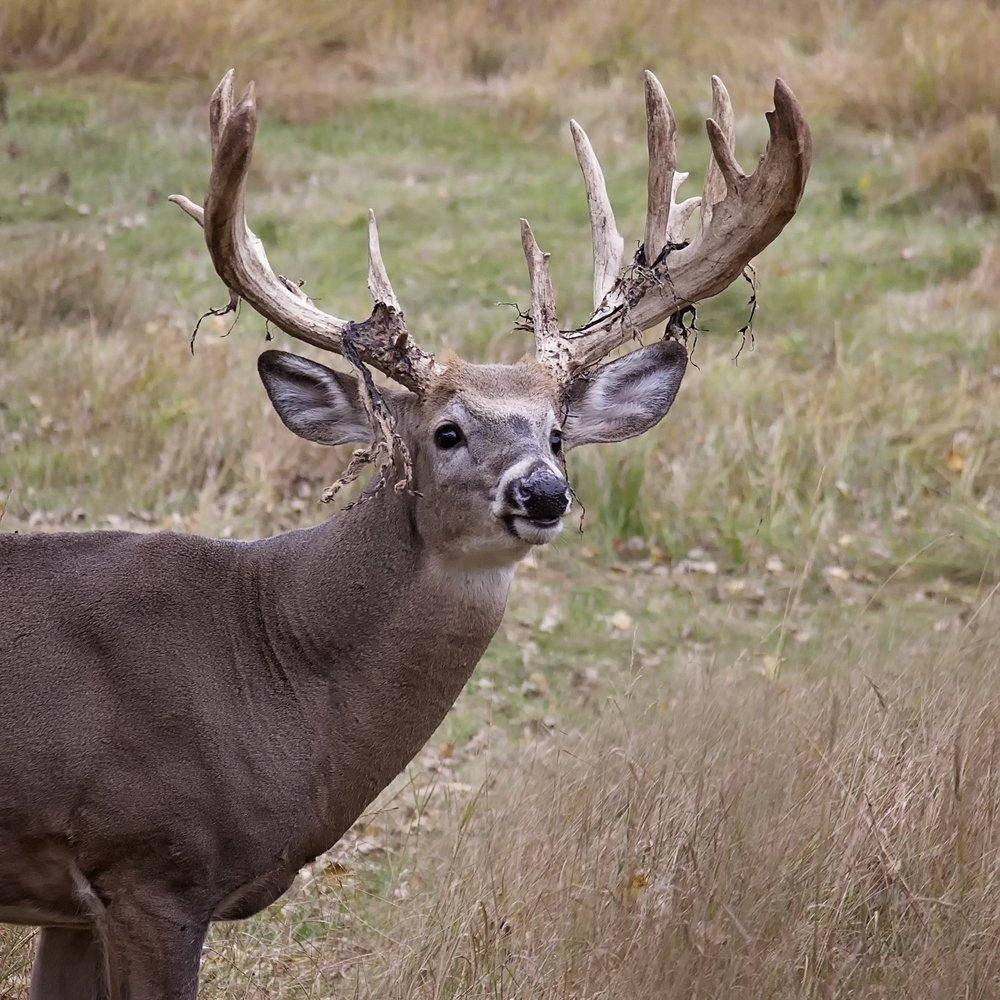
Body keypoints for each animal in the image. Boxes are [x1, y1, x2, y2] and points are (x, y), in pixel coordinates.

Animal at [0, 72, 808, 1000]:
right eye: (446, 432)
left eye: (557, 434)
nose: (543, 490)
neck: (258, 660)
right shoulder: (149, 863)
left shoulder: (77, 904)